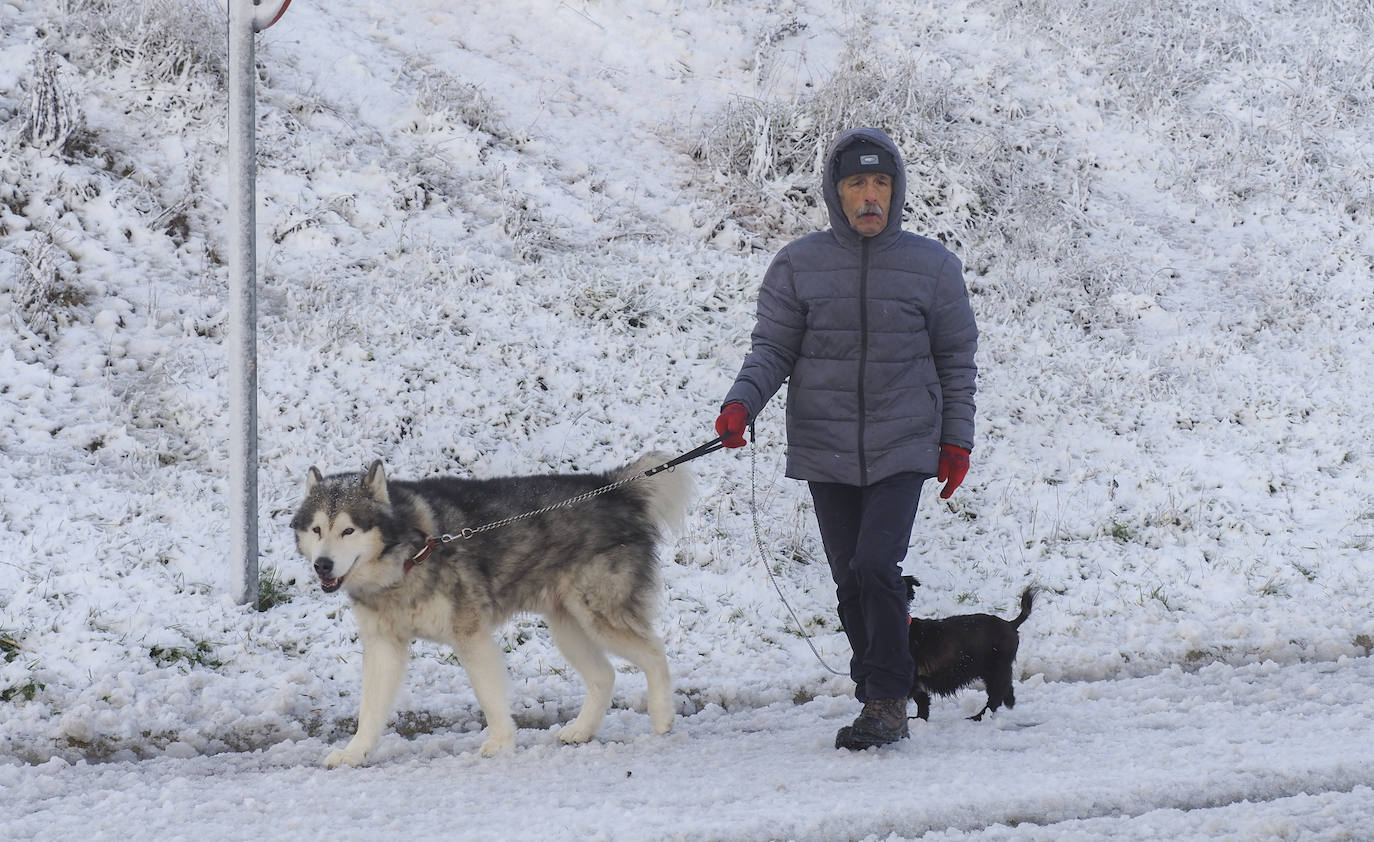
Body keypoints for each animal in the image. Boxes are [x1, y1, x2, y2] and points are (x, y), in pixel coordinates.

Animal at [294, 456, 692, 763]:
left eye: (348, 530)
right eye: (317, 529)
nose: (322, 565)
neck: (409, 554)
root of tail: (612, 486)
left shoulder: (470, 634)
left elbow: (488, 694)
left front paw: (500, 742)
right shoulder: (383, 644)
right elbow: (370, 709)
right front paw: (355, 752)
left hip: (598, 615)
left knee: (654, 652)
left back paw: (662, 715)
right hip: (568, 626)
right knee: (604, 675)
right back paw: (581, 729)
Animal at [901, 576, 1033, 719]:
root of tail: (1010, 624)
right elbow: (922, 700)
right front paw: (920, 719)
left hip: (995, 669)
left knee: (995, 697)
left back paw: (978, 717)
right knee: (1005, 687)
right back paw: (1009, 701)